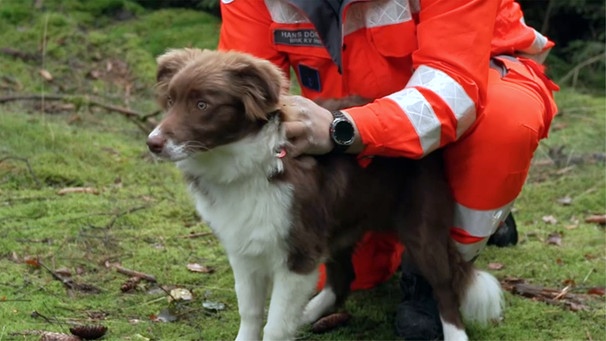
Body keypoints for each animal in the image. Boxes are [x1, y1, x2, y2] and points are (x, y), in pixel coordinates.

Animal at [147, 48, 504, 340]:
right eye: (171, 101)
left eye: (202, 104)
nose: (152, 143)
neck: (245, 164)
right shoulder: (245, 249)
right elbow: (250, 314)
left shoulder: (299, 254)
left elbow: (275, 326)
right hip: (338, 225)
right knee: (343, 277)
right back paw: (309, 313)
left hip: (422, 229)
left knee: (445, 289)